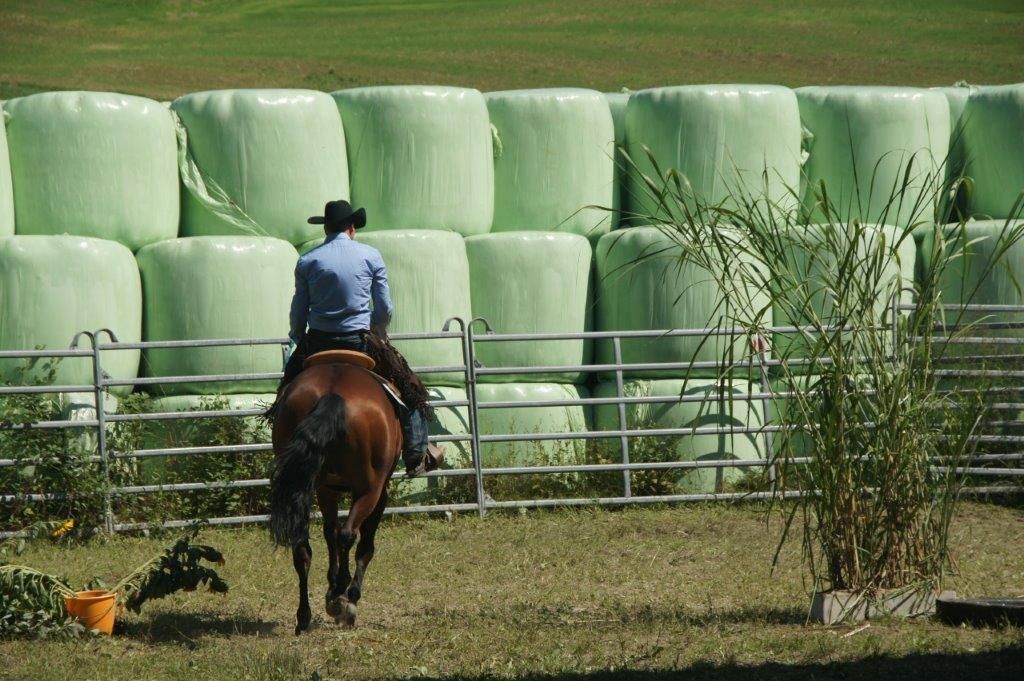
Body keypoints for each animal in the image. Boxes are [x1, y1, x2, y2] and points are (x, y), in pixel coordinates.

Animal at [269, 360, 402, 634]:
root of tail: (333, 394)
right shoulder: (380, 491)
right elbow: (363, 545)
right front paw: (346, 596)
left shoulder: (326, 489)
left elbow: (329, 532)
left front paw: (332, 590)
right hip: (370, 490)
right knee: (349, 534)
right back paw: (343, 595)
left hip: (305, 482)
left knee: (302, 548)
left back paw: (304, 617)